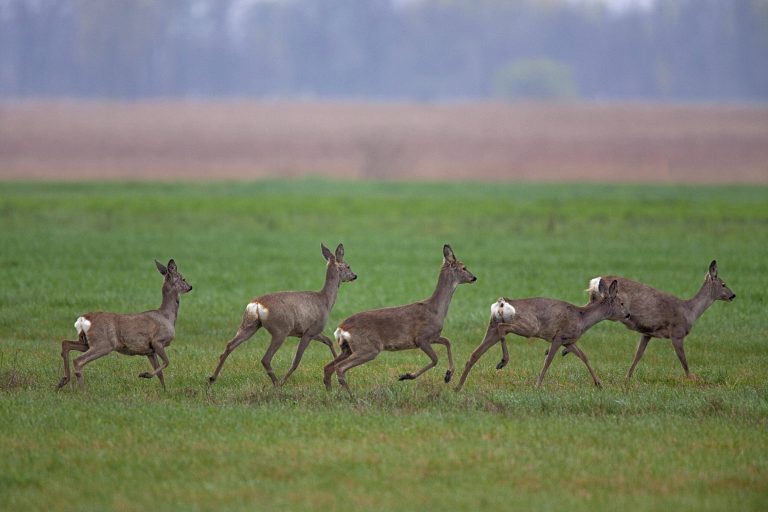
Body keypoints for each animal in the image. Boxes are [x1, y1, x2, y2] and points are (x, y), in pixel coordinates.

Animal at [56, 260, 192, 392]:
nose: (190, 287)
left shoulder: (150, 351)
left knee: (66, 343)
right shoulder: (157, 341)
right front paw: (145, 374)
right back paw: (83, 392)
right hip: (103, 343)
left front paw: (164, 390)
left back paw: (62, 381)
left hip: (86, 342)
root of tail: (83, 319)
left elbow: (161, 373)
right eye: (183, 278)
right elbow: (167, 362)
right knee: (78, 360)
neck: (167, 317)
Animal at [208, 242, 356, 386]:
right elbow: (296, 361)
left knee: (229, 346)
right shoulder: (310, 331)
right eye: (348, 266)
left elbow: (329, 341)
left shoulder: (309, 332)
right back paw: (277, 384)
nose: (355, 276)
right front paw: (284, 381)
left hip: (249, 325)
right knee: (265, 359)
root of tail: (256, 304)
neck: (325, 300)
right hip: (280, 330)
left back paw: (211, 379)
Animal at [326, 244, 480, 392]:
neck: (436, 309)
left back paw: (331, 391)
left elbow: (448, 342)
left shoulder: (434, 336)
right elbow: (435, 359)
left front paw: (448, 375)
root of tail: (340, 328)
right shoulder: (421, 338)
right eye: (464, 267)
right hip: (368, 347)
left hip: (347, 348)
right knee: (339, 367)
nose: (474, 278)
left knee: (328, 367)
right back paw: (350, 395)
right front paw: (406, 376)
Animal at [452, 278, 628, 390]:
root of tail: (501, 303)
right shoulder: (559, 336)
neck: (582, 318)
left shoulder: (568, 340)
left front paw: (599, 384)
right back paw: (502, 361)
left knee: (475, 353)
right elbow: (548, 361)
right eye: (621, 303)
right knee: (504, 328)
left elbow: (584, 356)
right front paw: (537, 385)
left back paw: (458, 386)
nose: (627, 315)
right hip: (529, 326)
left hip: (492, 327)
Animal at [584, 260, 736, 380]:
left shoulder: (647, 333)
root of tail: (595, 281)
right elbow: (683, 360)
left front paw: (627, 377)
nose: (733, 295)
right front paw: (692, 379)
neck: (689, 311)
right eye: (723, 284)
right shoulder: (677, 333)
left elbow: (638, 355)